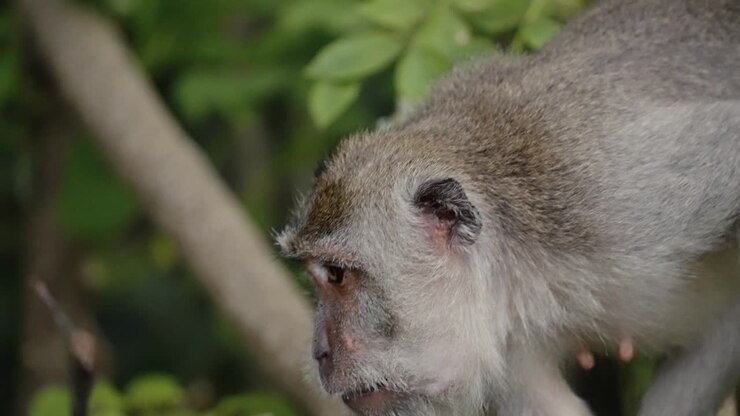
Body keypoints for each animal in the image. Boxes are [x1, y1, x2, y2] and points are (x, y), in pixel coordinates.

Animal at [277, 0, 740, 414]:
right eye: (317, 276)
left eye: (337, 275)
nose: (320, 354)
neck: (520, 261)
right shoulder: (505, 342)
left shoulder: (621, 198)